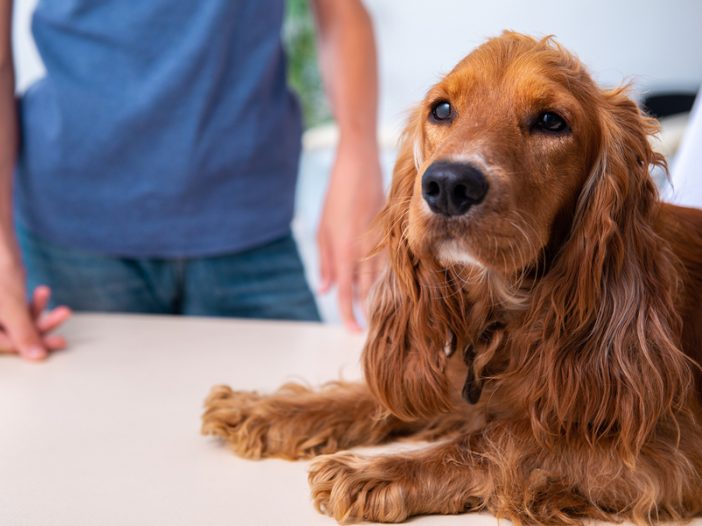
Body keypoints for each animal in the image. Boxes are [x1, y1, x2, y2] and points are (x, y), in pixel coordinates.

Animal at [202, 32, 702, 524]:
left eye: (551, 121)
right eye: (442, 109)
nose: (446, 184)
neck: (505, 310)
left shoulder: (666, 448)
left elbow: (503, 438)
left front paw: (377, 471)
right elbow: (378, 396)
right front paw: (269, 408)